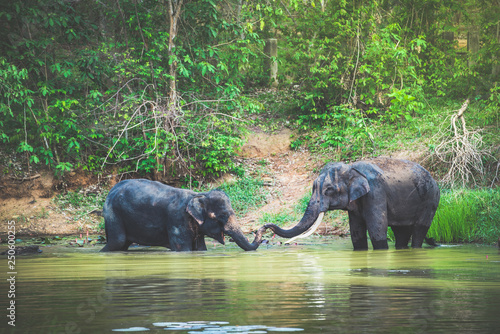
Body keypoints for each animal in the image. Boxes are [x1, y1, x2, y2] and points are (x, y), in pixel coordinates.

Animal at [99, 179, 264, 252]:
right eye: (221, 216)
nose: (266, 226)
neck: (199, 194)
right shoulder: (176, 219)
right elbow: (183, 249)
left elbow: (201, 249)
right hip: (113, 213)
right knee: (118, 241)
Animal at [264, 158, 440, 249]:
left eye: (329, 190)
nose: (265, 226)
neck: (351, 167)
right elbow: (356, 231)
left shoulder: (376, 193)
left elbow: (377, 228)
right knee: (401, 232)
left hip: (430, 199)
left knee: (419, 229)